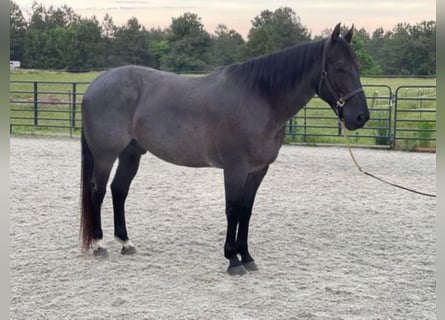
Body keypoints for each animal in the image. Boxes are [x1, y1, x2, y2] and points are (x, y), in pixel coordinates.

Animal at [79, 23, 368, 276]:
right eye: (339, 67)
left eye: (358, 66)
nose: (360, 117)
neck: (258, 100)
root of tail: (94, 85)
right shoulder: (235, 169)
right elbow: (233, 209)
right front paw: (233, 260)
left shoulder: (257, 171)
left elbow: (246, 211)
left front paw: (247, 256)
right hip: (105, 156)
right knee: (98, 191)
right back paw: (99, 245)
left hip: (131, 153)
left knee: (119, 190)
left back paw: (125, 242)